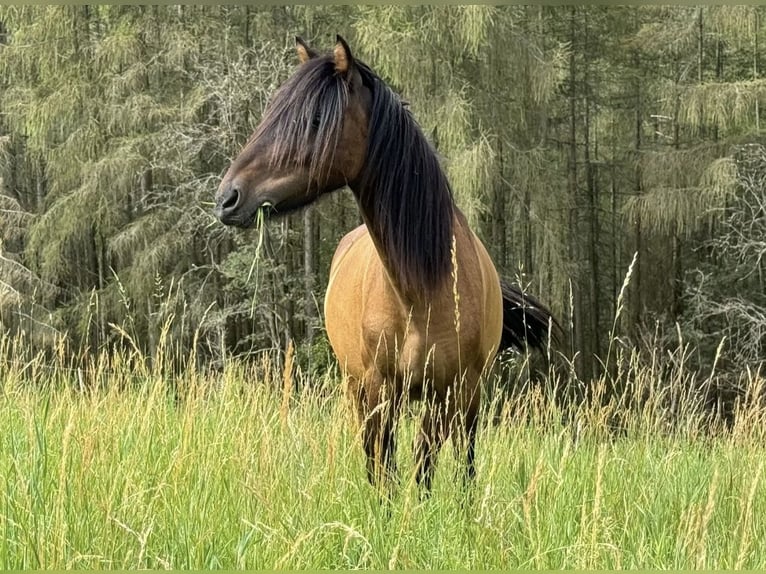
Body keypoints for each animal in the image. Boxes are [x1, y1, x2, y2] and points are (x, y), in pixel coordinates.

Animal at [216, 36, 560, 496]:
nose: (227, 198)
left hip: (464, 402)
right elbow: (385, 471)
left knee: (459, 460)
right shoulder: (379, 390)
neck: (419, 288)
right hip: (357, 390)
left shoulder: (450, 392)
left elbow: (430, 470)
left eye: (316, 118)